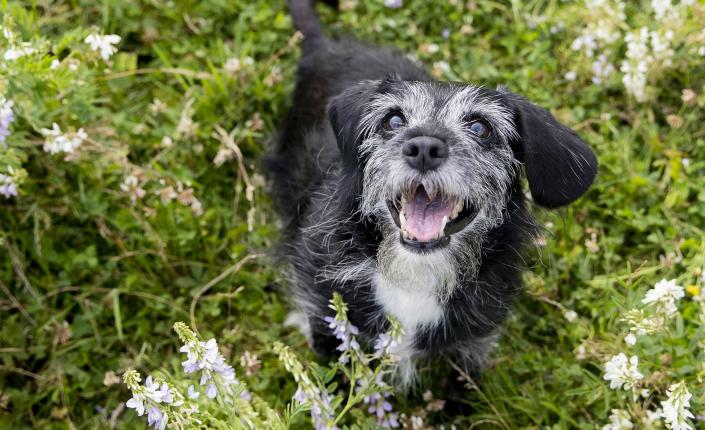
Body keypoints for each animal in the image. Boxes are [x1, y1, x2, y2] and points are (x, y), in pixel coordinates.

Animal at [266, 0, 596, 386]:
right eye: (393, 120)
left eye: (480, 127)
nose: (423, 147)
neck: (416, 274)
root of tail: (323, 47)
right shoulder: (323, 310)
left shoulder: (474, 343)